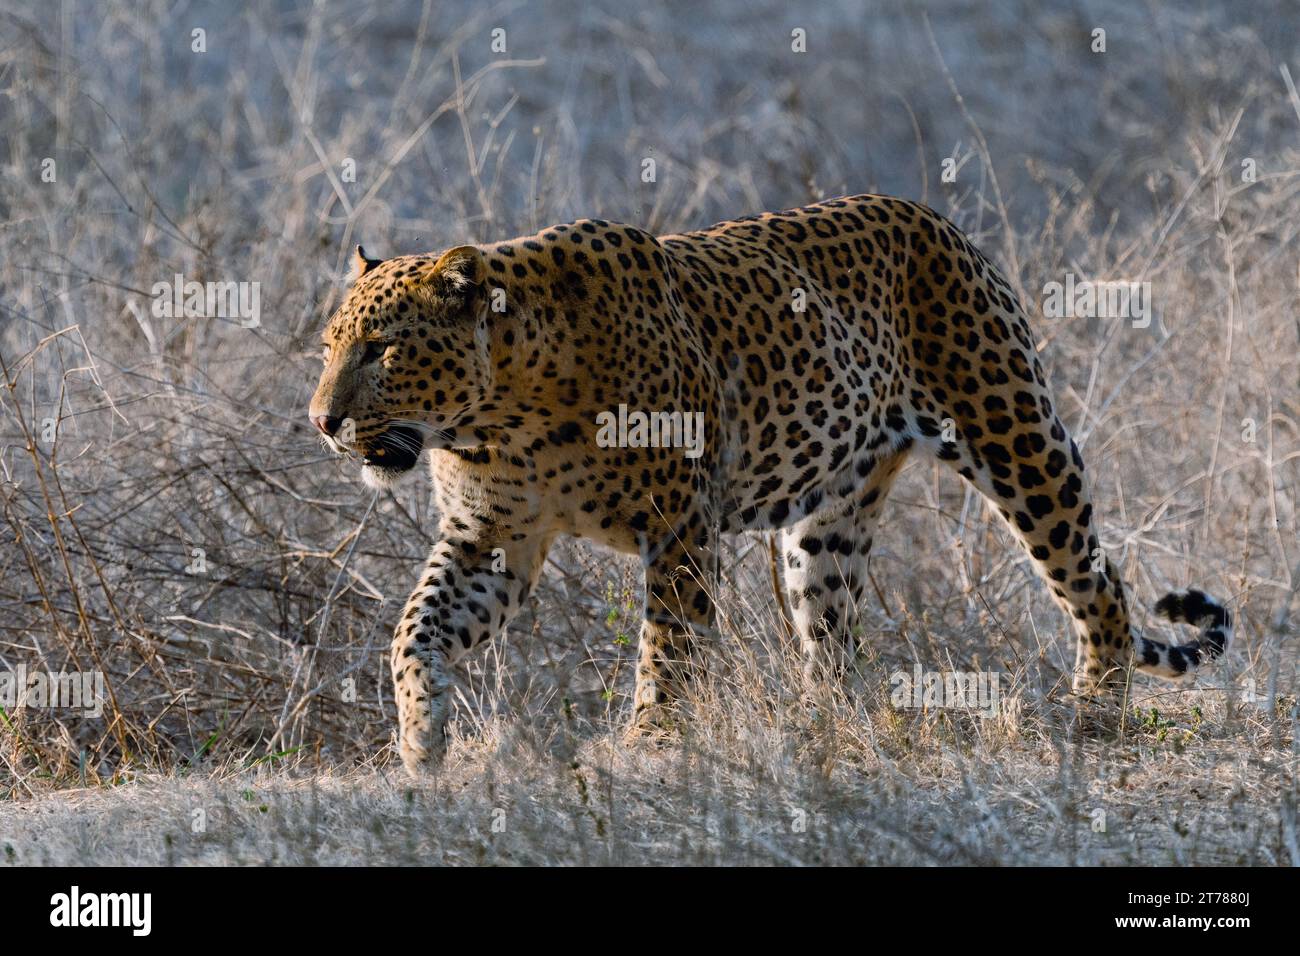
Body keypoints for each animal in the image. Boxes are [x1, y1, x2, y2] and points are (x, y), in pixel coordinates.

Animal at [308, 194, 1232, 775]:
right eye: (327, 347)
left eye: (384, 350)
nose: (321, 420)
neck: (502, 411)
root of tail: (936, 219)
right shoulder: (490, 538)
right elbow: (416, 627)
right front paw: (421, 737)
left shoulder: (677, 525)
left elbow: (668, 643)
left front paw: (651, 740)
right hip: (825, 528)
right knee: (835, 638)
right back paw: (824, 728)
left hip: (1017, 436)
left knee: (1097, 582)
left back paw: (1095, 711)